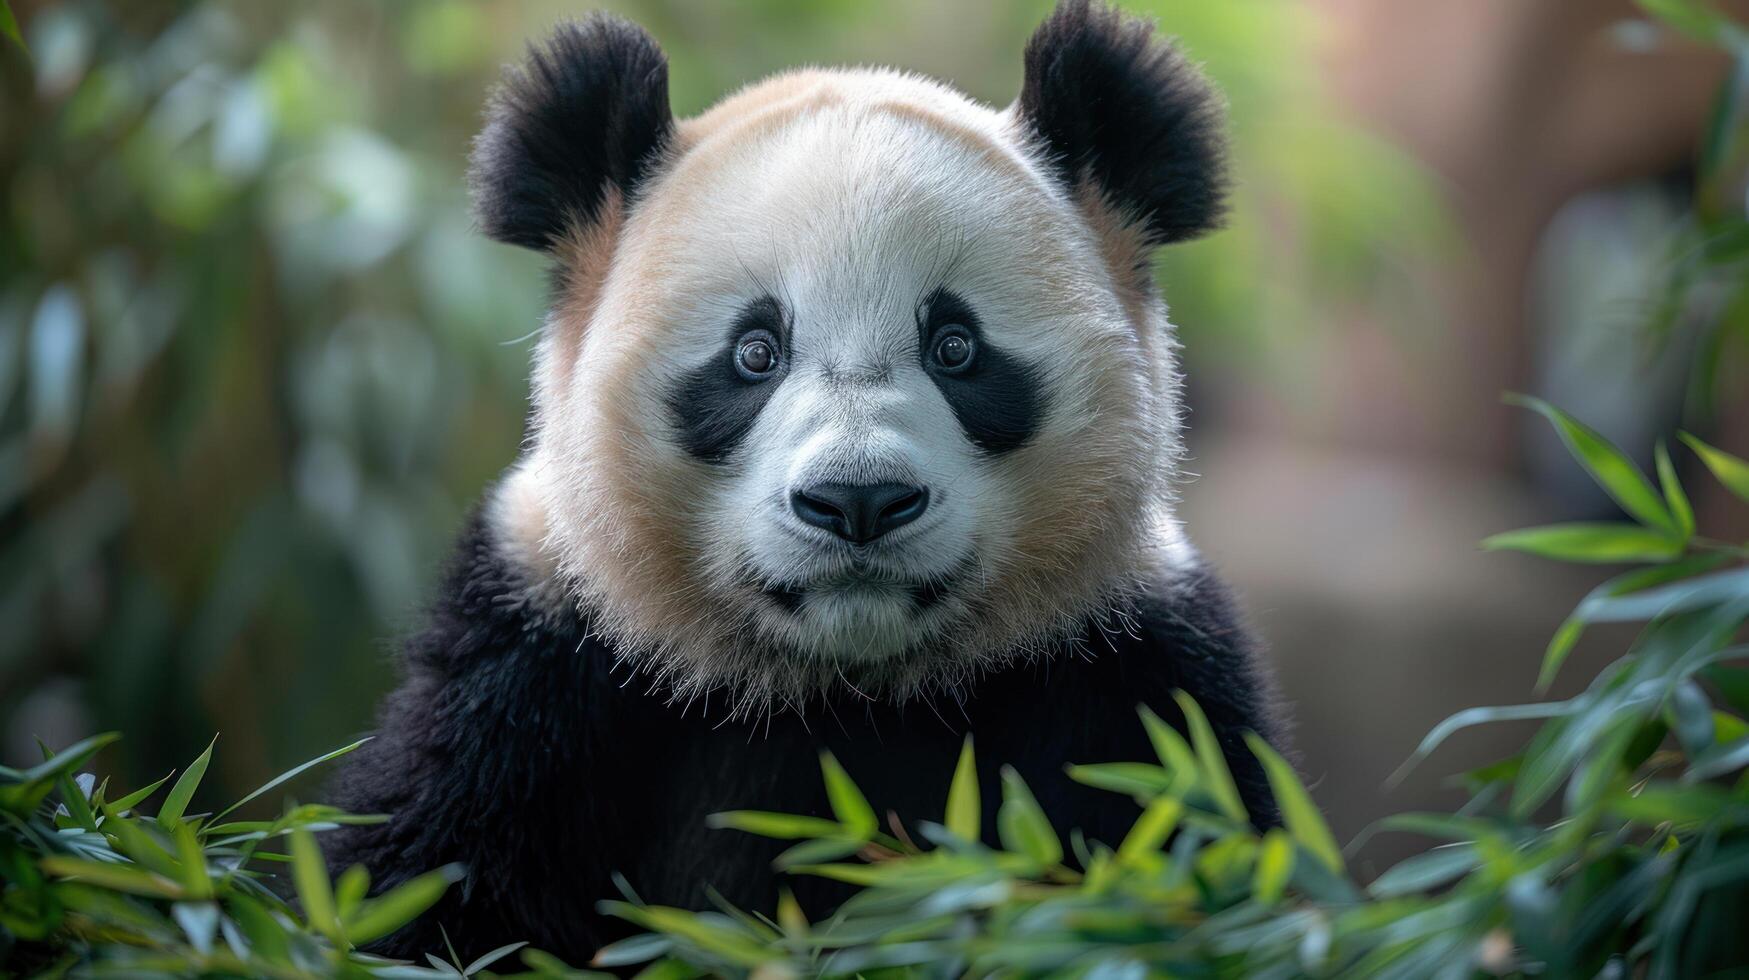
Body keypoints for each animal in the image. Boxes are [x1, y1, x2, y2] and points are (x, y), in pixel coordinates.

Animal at [325, 0, 1287, 959]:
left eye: (956, 346)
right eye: (754, 352)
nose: (858, 502)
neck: (842, 689)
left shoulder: (1130, 673)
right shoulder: (532, 665)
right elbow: (423, 885)